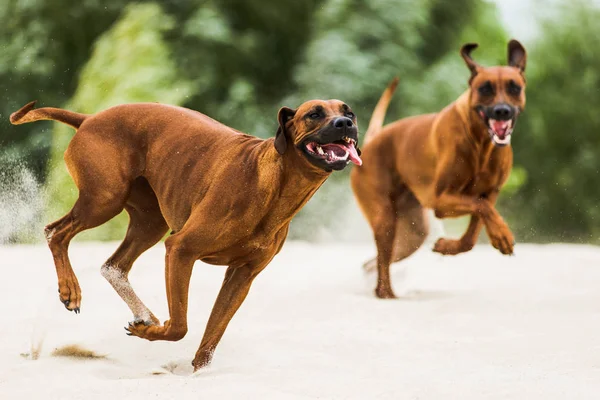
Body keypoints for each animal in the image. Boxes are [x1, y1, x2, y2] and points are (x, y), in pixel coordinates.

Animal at [350, 39, 528, 296]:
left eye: (514, 87)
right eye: (485, 88)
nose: (502, 110)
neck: (481, 142)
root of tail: (372, 141)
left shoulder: (491, 192)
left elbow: (473, 233)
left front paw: (449, 246)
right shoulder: (441, 200)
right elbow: (481, 206)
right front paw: (503, 234)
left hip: (413, 233)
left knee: (375, 262)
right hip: (384, 217)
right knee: (382, 263)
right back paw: (387, 294)